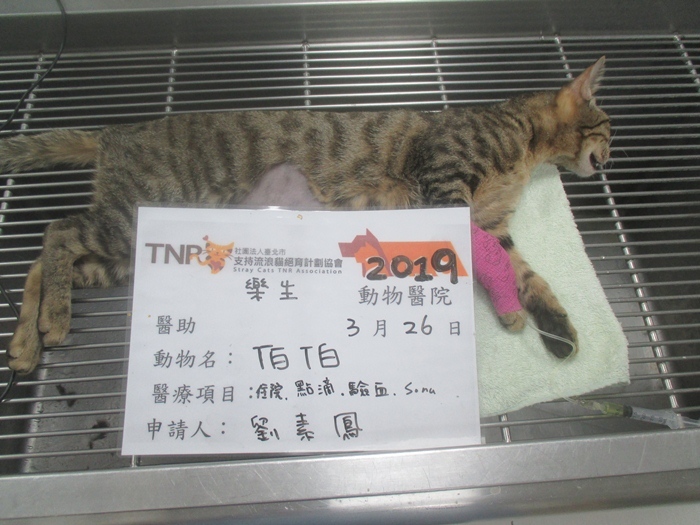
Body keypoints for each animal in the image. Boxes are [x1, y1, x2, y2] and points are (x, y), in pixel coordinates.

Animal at [1, 57, 610, 374]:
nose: (609, 156)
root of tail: (112, 133)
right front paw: (505, 311)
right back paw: (53, 318)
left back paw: (27, 339)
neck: (524, 149)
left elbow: (528, 275)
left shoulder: (494, 226)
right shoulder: (444, 184)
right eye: (607, 127)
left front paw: (555, 326)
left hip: (121, 254)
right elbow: (479, 262)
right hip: (129, 220)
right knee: (57, 230)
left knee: (43, 259)